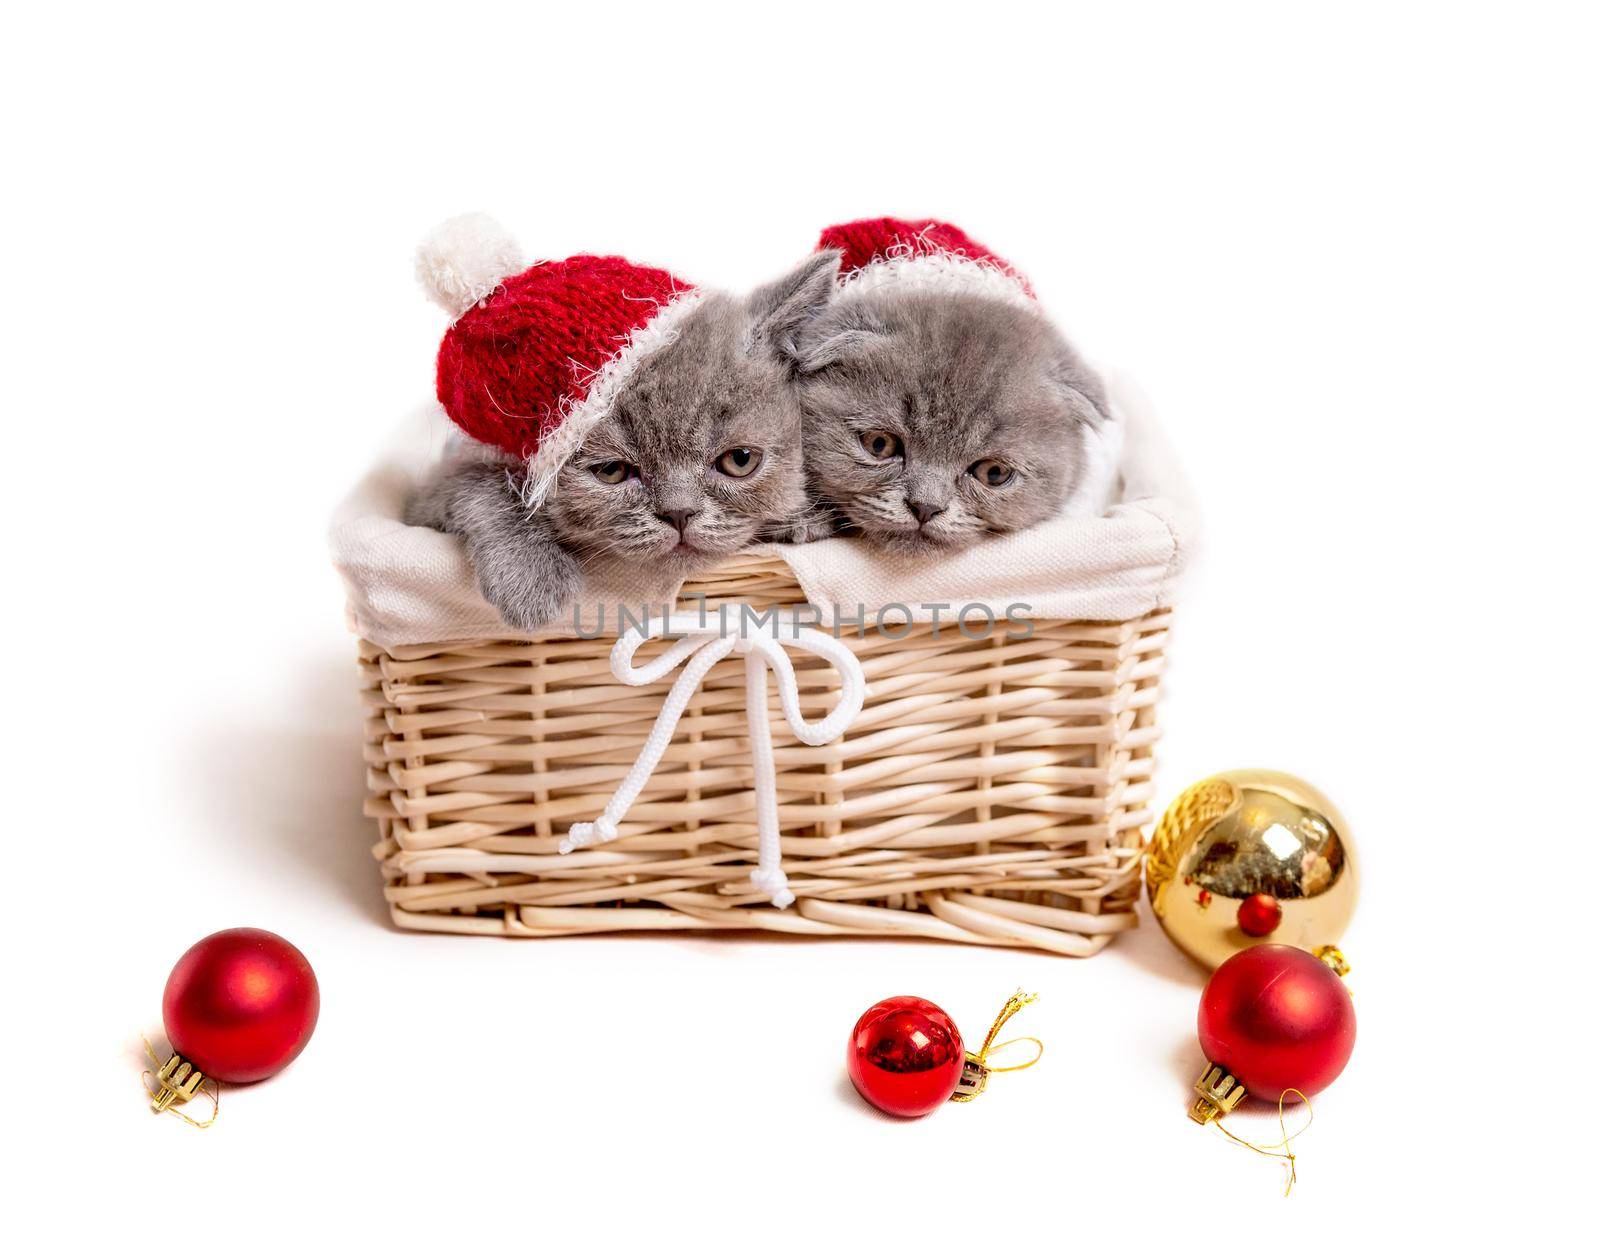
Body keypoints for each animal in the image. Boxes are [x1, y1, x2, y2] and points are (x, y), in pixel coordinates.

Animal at [406, 254, 844, 633]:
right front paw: (528, 576)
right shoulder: (428, 493)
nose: (679, 513)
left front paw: (804, 518)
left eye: (739, 460)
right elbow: (480, 482)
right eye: (612, 471)